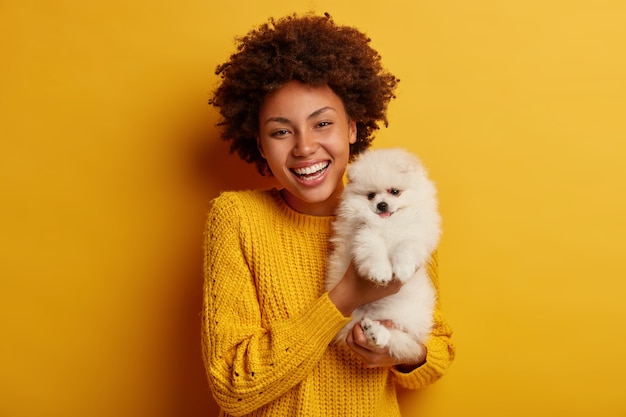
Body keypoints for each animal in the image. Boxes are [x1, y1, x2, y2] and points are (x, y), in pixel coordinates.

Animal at [324, 147, 442, 360]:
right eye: (371, 195)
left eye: (394, 192)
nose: (382, 205)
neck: (388, 223)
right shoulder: (364, 234)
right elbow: (374, 251)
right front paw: (381, 273)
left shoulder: (415, 234)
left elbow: (405, 247)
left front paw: (403, 270)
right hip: (352, 318)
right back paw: (373, 332)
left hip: (406, 314)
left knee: (395, 336)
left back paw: (377, 333)